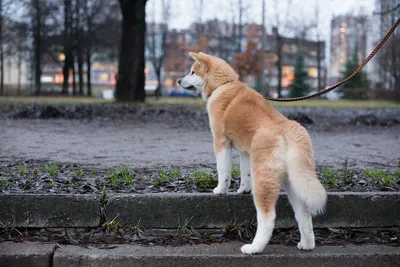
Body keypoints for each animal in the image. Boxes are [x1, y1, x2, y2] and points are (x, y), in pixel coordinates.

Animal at [179, 52, 328, 255]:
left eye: (192, 72)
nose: (178, 81)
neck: (223, 85)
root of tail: (287, 128)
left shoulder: (221, 142)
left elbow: (223, 171)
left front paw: (220, 190)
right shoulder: (245, 150)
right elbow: (244, 173)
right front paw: (243, 189)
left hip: (265, 179)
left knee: (267, 216)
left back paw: (254, 247)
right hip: (294, 180)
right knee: (303, 214)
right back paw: (306, 244)